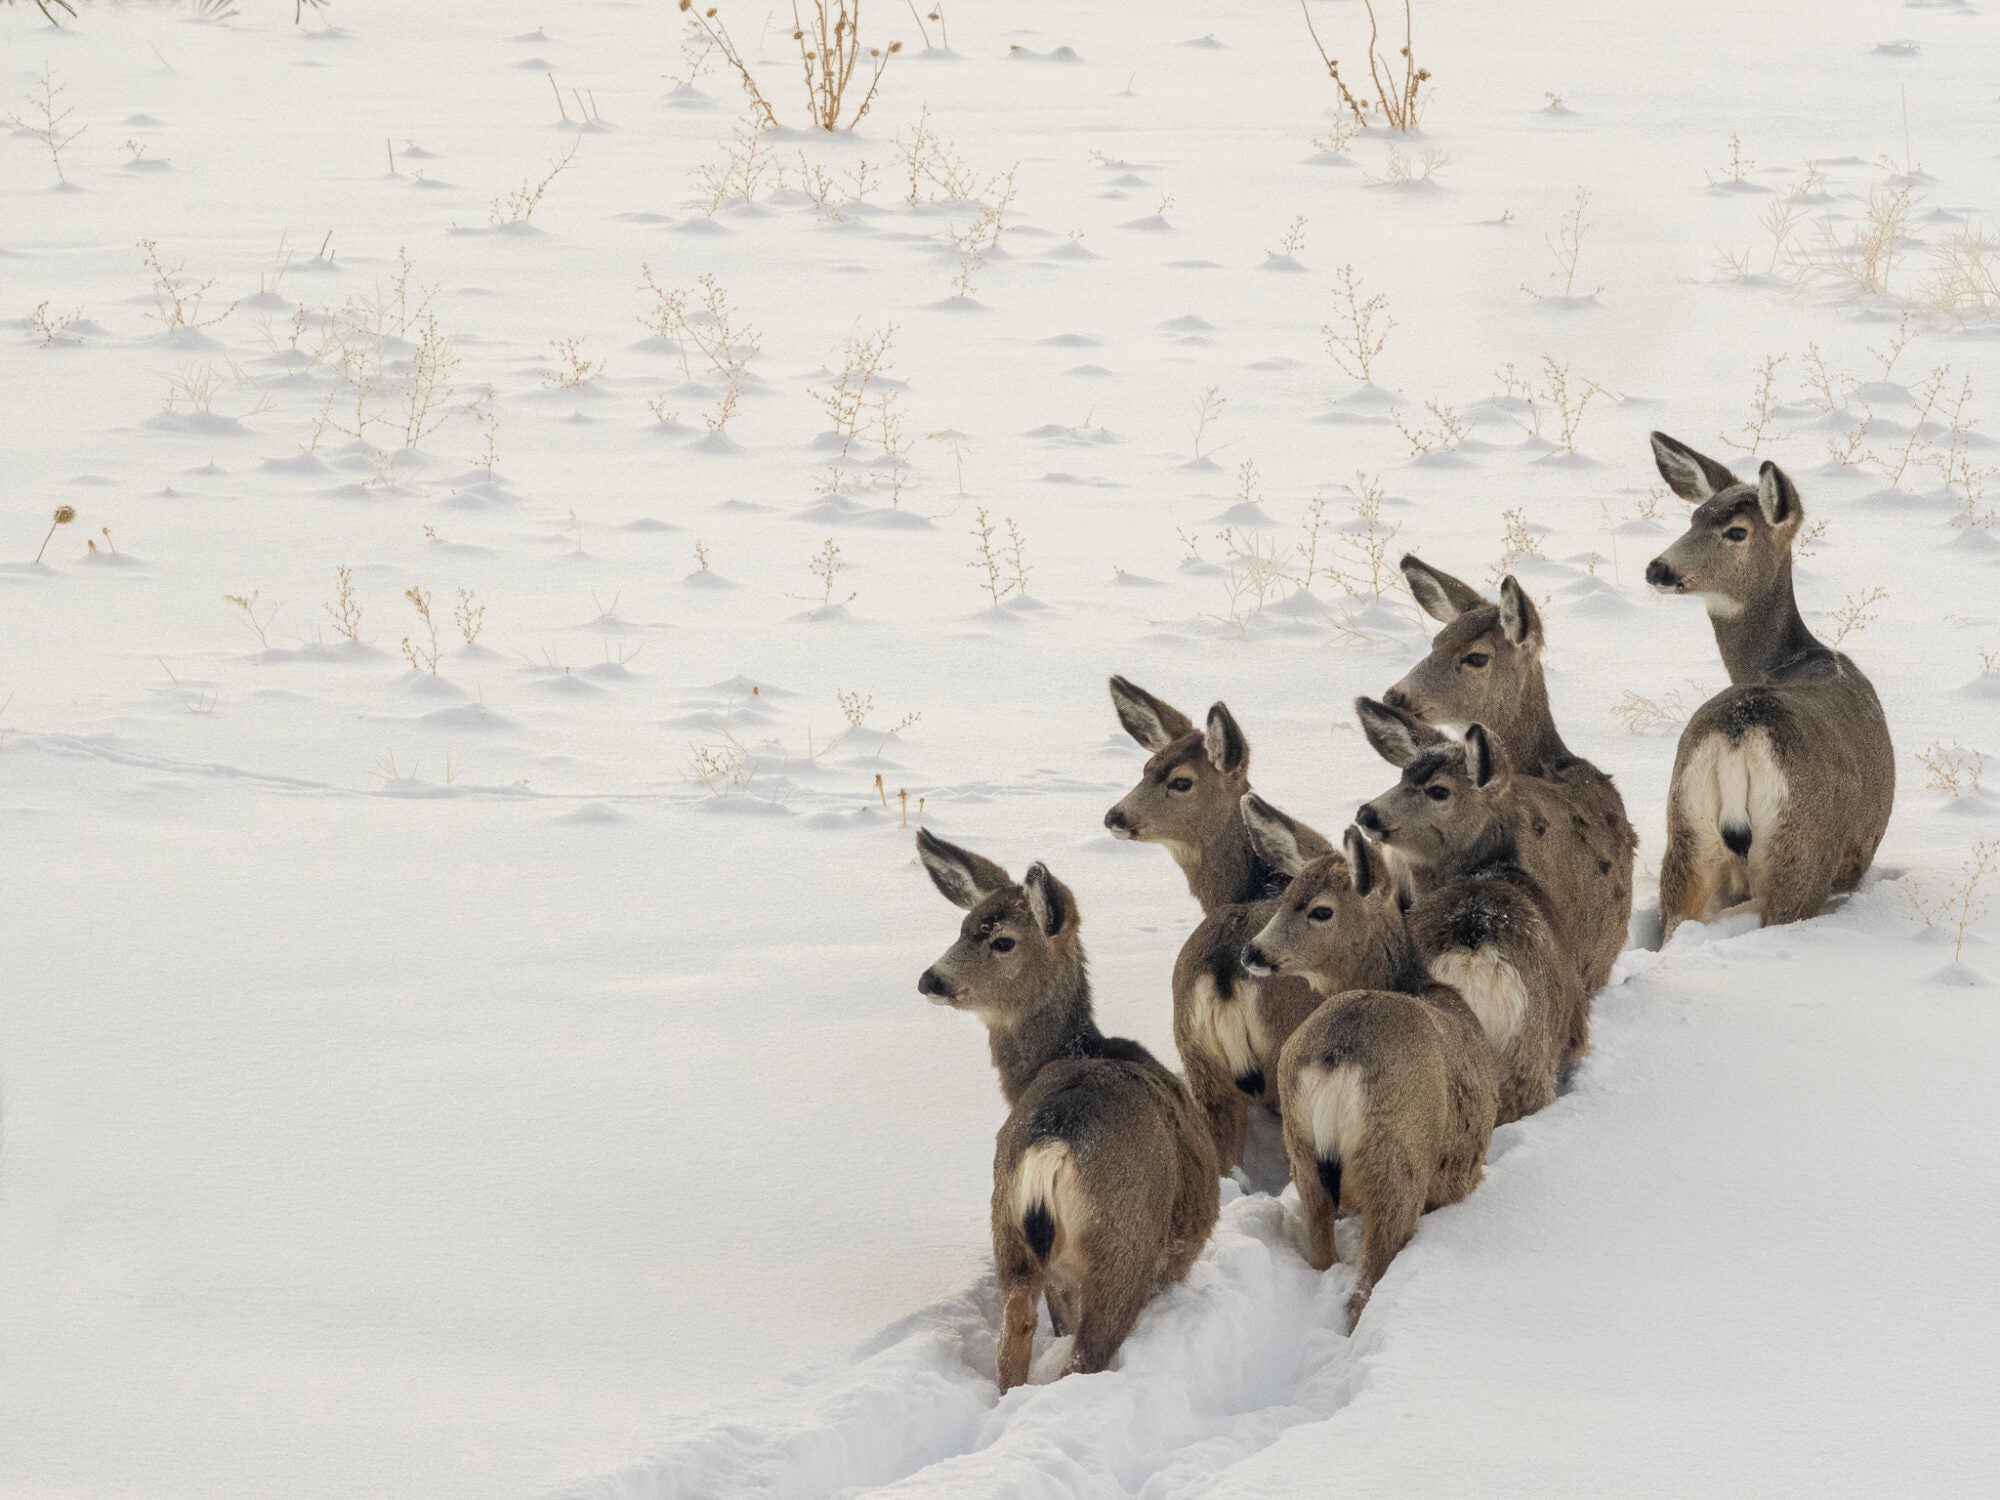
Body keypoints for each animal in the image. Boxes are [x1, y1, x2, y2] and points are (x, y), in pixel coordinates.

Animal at [914, 828, 1220, 1390]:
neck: (1073, 1049)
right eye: (964, 928)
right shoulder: (1173, 1258)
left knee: (1014, 1338)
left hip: (1008, 1231)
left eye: (1000, 939)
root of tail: (1053, 1141)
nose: (931, 979)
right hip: (1122, 1247)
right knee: (1086, 1356)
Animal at [1237, 800, 1498, 1326]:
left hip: (1301, 1151)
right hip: (1395, 1159)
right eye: (1286, 898)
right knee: (1366, 1278)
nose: (1252, 951)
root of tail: (1337, 1056)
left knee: (1321, 1250)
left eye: (1318, 909)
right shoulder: (1462, 1170)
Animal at [1644, 434, 1895, 942]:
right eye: (1694, 519)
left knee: (1677, 920)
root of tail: (1739, 731)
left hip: (1685, 831)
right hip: (1800, 846)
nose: (1658, 569)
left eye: (1735, 531)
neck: (1784, 661)